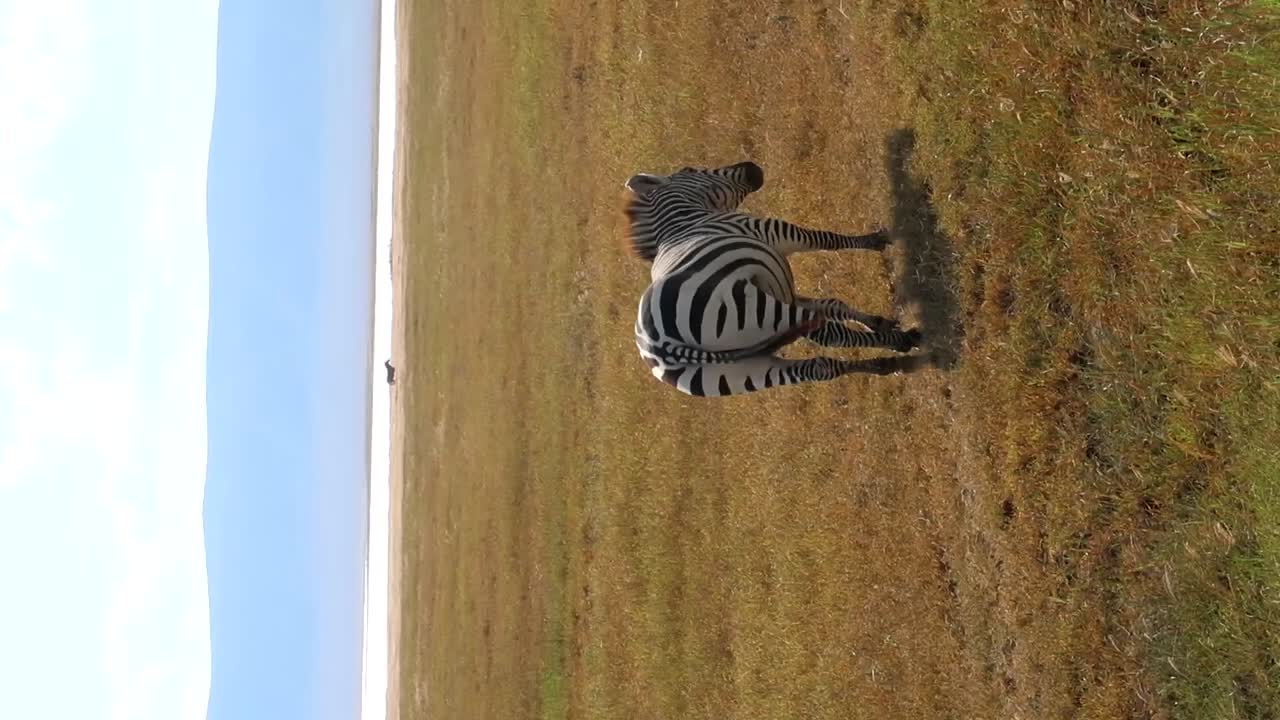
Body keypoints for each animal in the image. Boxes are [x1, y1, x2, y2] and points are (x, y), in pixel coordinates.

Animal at [623, 161, 923, 397]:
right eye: (689, 170)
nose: (753, 168)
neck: (684, 222)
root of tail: (660, 347)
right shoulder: (771, 230)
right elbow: (827, 239)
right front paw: (874, 241)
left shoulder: (778, 287)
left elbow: (832, 304)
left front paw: (878, 322)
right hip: (756, 310)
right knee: (833, 335)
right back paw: (903, 342)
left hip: (734, 373)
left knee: (820, 366)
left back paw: (883, 365)